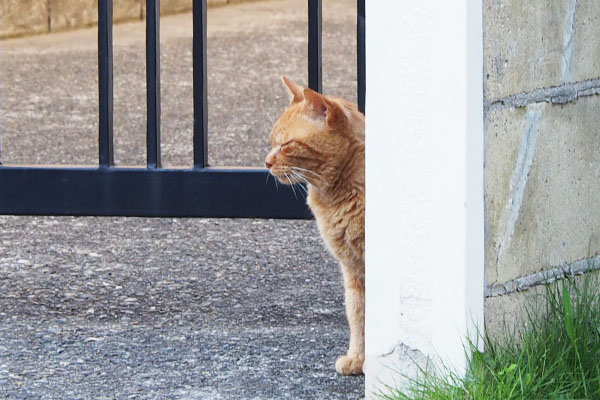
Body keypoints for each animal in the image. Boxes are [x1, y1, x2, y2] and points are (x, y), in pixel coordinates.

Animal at [266, 77, 366, 376]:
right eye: (271, 142)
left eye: (287, 144)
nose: (266, 162)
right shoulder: (353, 269)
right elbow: (357, 314)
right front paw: (358, 358)